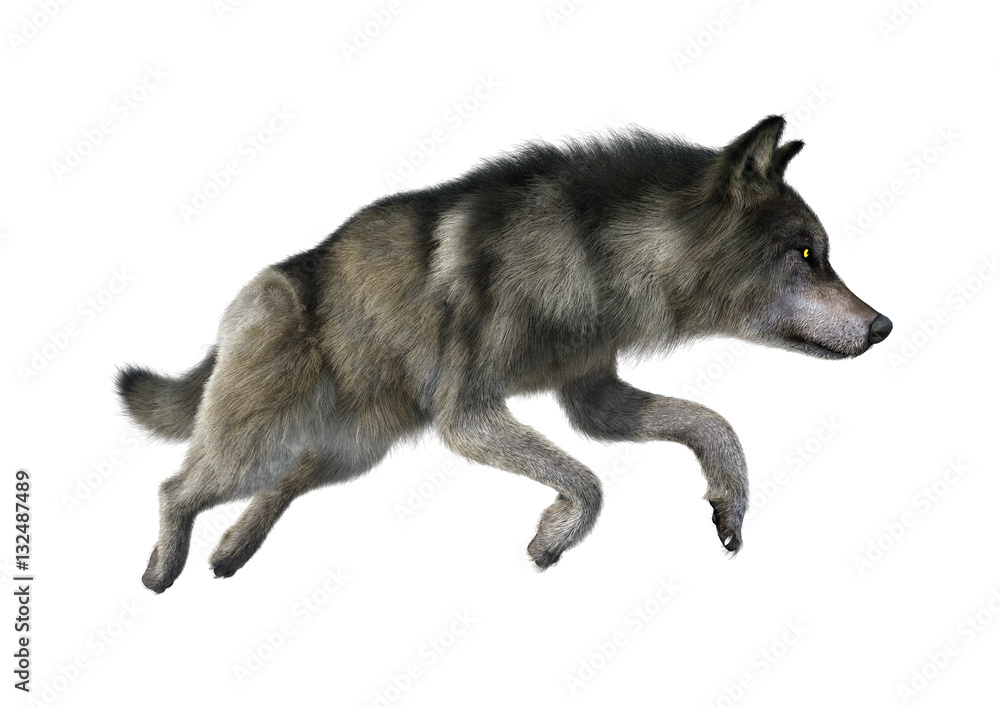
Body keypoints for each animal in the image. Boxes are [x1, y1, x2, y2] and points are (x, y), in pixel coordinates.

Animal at [117, 115, 891, 592]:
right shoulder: (467, 414)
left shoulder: (595, 398)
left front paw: (730, 502)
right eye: (806, 255)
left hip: (350, 450)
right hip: (262, 445)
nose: (883, 326)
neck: (598, 255)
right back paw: (162, 571)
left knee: (277, 487)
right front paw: (555, 536)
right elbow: (589, 482)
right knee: (176, 487)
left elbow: (713, 424)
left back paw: (230, 552)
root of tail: (244, 301)